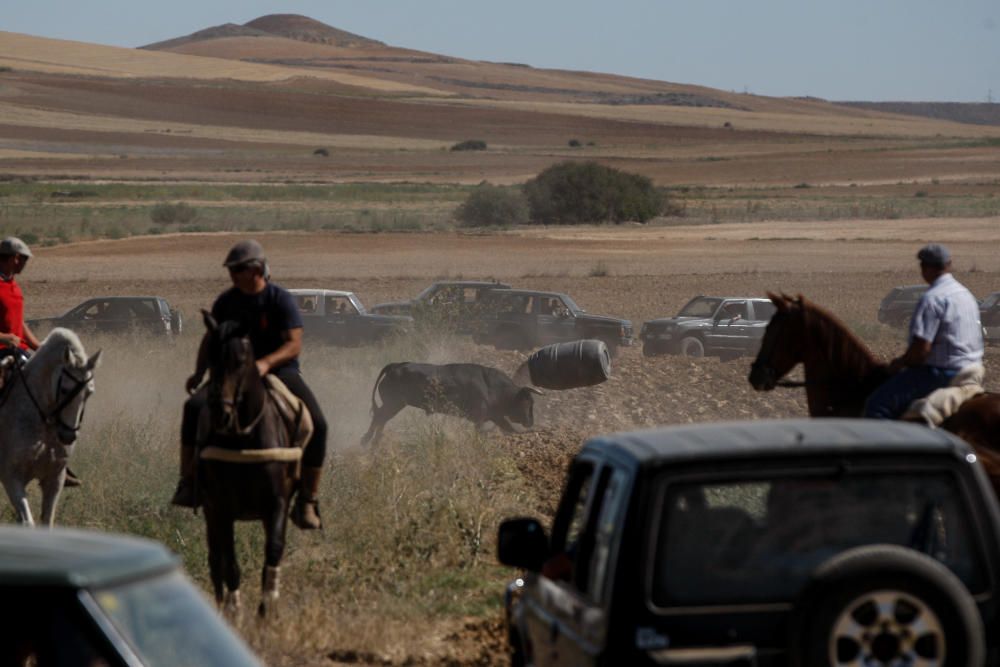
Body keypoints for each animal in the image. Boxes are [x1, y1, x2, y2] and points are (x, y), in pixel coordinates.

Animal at [0, 328, 100, 528]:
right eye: (64, 390)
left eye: (89, 393)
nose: (68, 436)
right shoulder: (11, 477)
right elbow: (28, 522)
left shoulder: (55, 478)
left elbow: (47, 521)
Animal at [197, 312, 298, 616]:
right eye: (210, 358)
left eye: (241, 360)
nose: (221, 412)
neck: (244, 438)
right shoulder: (221, 507)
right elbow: (229, 562)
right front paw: (234, 610)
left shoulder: (277, 502)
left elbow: (273, 552)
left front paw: (268, 608)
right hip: (210, 510)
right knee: (215, 559)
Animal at [360, 362, 544, 446]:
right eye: (528, 402)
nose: (531, 422)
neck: (492, 386)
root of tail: (395, 366)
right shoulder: (480, 417)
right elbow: (482, 430)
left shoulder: (496, 416)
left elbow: (510, 429)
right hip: (394, 404)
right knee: (379, 417)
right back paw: (367, 440)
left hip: (394, 405)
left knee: (380, 419)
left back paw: (374, 442)